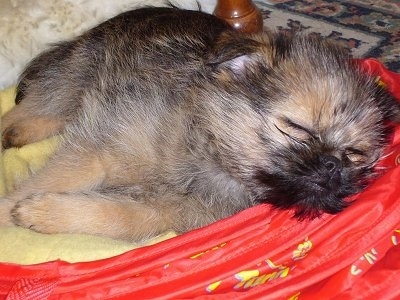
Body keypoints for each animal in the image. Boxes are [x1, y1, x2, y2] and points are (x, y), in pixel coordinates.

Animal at [0, 7, 400, 241]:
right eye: (295, 126)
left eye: (354, 154)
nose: (332, 164)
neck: (209, 151)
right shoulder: (98, 149)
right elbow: (50, 179)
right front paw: (9, 210)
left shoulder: (162, 211)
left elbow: (118, 217)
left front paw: (43, 214)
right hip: (77, 74)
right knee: (33, 108)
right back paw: (14, 129)